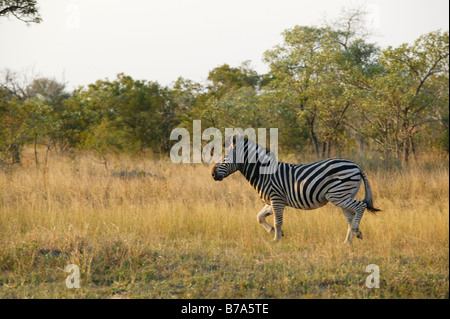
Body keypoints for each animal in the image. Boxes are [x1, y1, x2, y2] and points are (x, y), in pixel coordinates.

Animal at [212, 134, 380, 242]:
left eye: (225, 158)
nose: (212, 174)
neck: (264, 174)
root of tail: (356, 166)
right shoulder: (272, 201)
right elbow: (259, 217)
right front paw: (273, 233)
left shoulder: (276, 198)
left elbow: (278, 221)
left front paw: (275, 240)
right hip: (344, 196)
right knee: (350, 217)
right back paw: (348, 241)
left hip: (338, 195)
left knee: (360, 206)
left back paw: (356, 231)